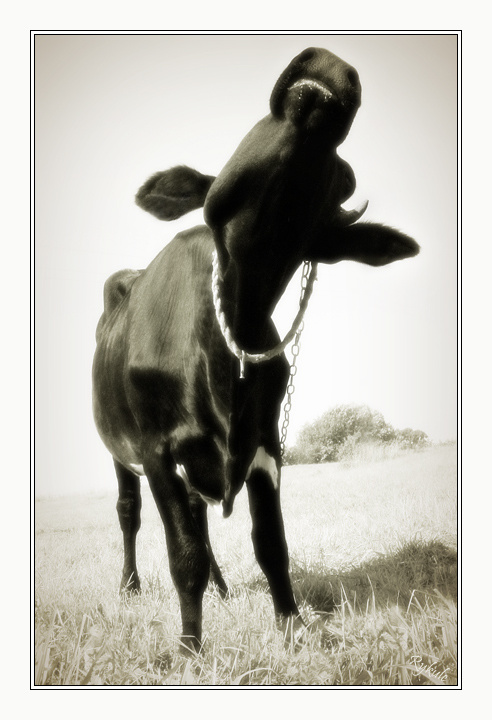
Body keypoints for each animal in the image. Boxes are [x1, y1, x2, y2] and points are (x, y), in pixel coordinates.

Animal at [92, 47, 419, 653]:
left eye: (341, 180)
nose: (328, 68)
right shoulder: (155, 448)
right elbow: (183, 554)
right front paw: (190, 648)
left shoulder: (267, 441)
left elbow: (271, 545)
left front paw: (291, 628)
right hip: (119, 449)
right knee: (130, 512)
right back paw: (130, 586)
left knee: (198, 517)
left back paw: (222, 591)